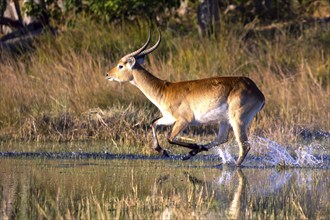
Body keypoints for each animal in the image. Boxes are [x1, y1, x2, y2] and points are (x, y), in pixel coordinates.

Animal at [106, 30, 266, 166]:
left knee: (244, 146)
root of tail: (258, 92)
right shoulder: (169, 118)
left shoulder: (184, 120)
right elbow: (153, 123)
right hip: (224, 120)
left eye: (121, 66)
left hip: (238, 120)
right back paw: (193, 154)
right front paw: (163, 151)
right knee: (222, 138)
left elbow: (170, 138)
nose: (107, 74)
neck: (164, 90)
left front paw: (186, 147)